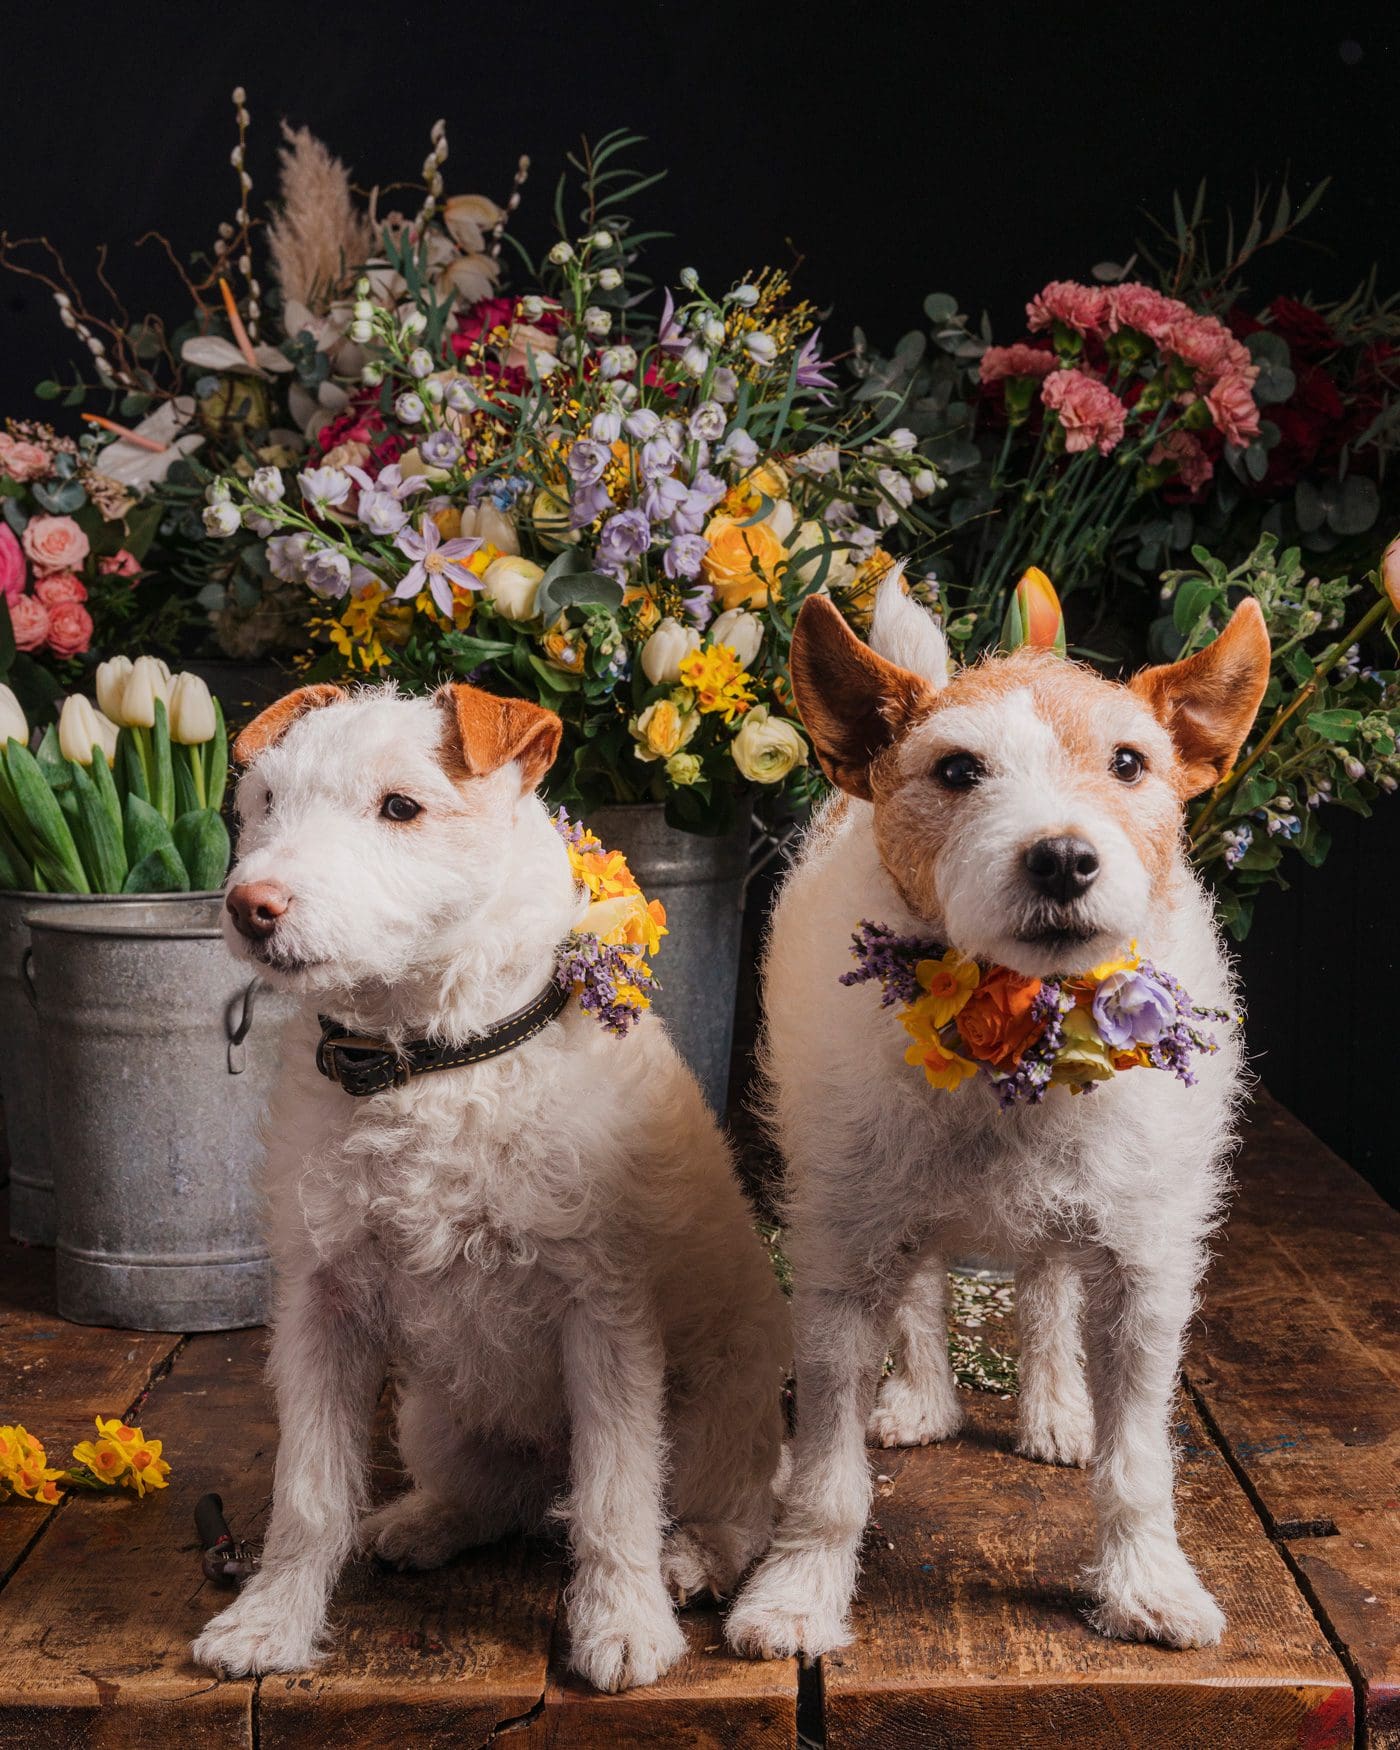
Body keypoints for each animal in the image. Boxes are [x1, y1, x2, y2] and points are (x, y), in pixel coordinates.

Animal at [191, 675, 794, 1687]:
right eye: (265, 801)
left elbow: (615, 1492)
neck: (435, 1059)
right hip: (434, 1415)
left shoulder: (604, 1312)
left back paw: (689, 1561)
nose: (251, 906)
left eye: (401, 806)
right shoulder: (320, 1304)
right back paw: (421, 1522)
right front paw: (267, 1623)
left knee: (730, 1509)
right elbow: (308, 1490)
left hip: (723, 1411)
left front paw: (621, 1626)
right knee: (499, 1497)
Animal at [728, 581, 1274, 1659]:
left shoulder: (1143, 1274)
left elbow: (1137, 1463)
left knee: (1046, 1284)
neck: (1017, 1024)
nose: (1061, 858)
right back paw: (923, 1395)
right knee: (923, 1288)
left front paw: (1147, 1583)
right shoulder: (839, 1264)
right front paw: (798, 1591)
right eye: (955, 769)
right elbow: (826, 1473)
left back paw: (1056, 1405)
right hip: (887, 1208)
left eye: (1127, 763)